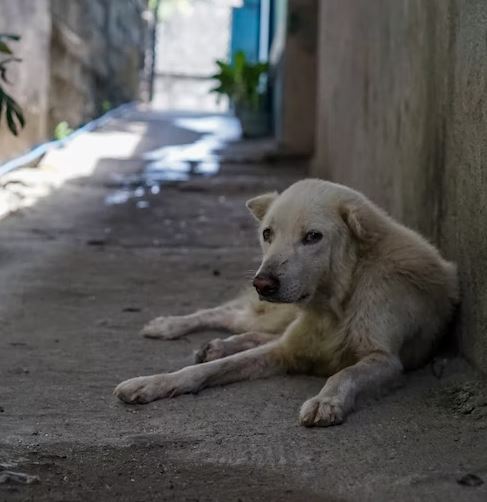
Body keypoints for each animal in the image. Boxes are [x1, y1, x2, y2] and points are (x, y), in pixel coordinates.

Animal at [113, 178, 458, 426]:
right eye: (268, 234)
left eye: (313, 237)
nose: (262, 283)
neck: (335, 306)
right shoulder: (284, 350)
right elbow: (207, 369)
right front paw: (152, 383)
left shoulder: (386, 360)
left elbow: (343, 374)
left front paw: (325, 401)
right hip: (271, 314)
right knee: (227, 315)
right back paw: (169, 326)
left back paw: (217, 344)